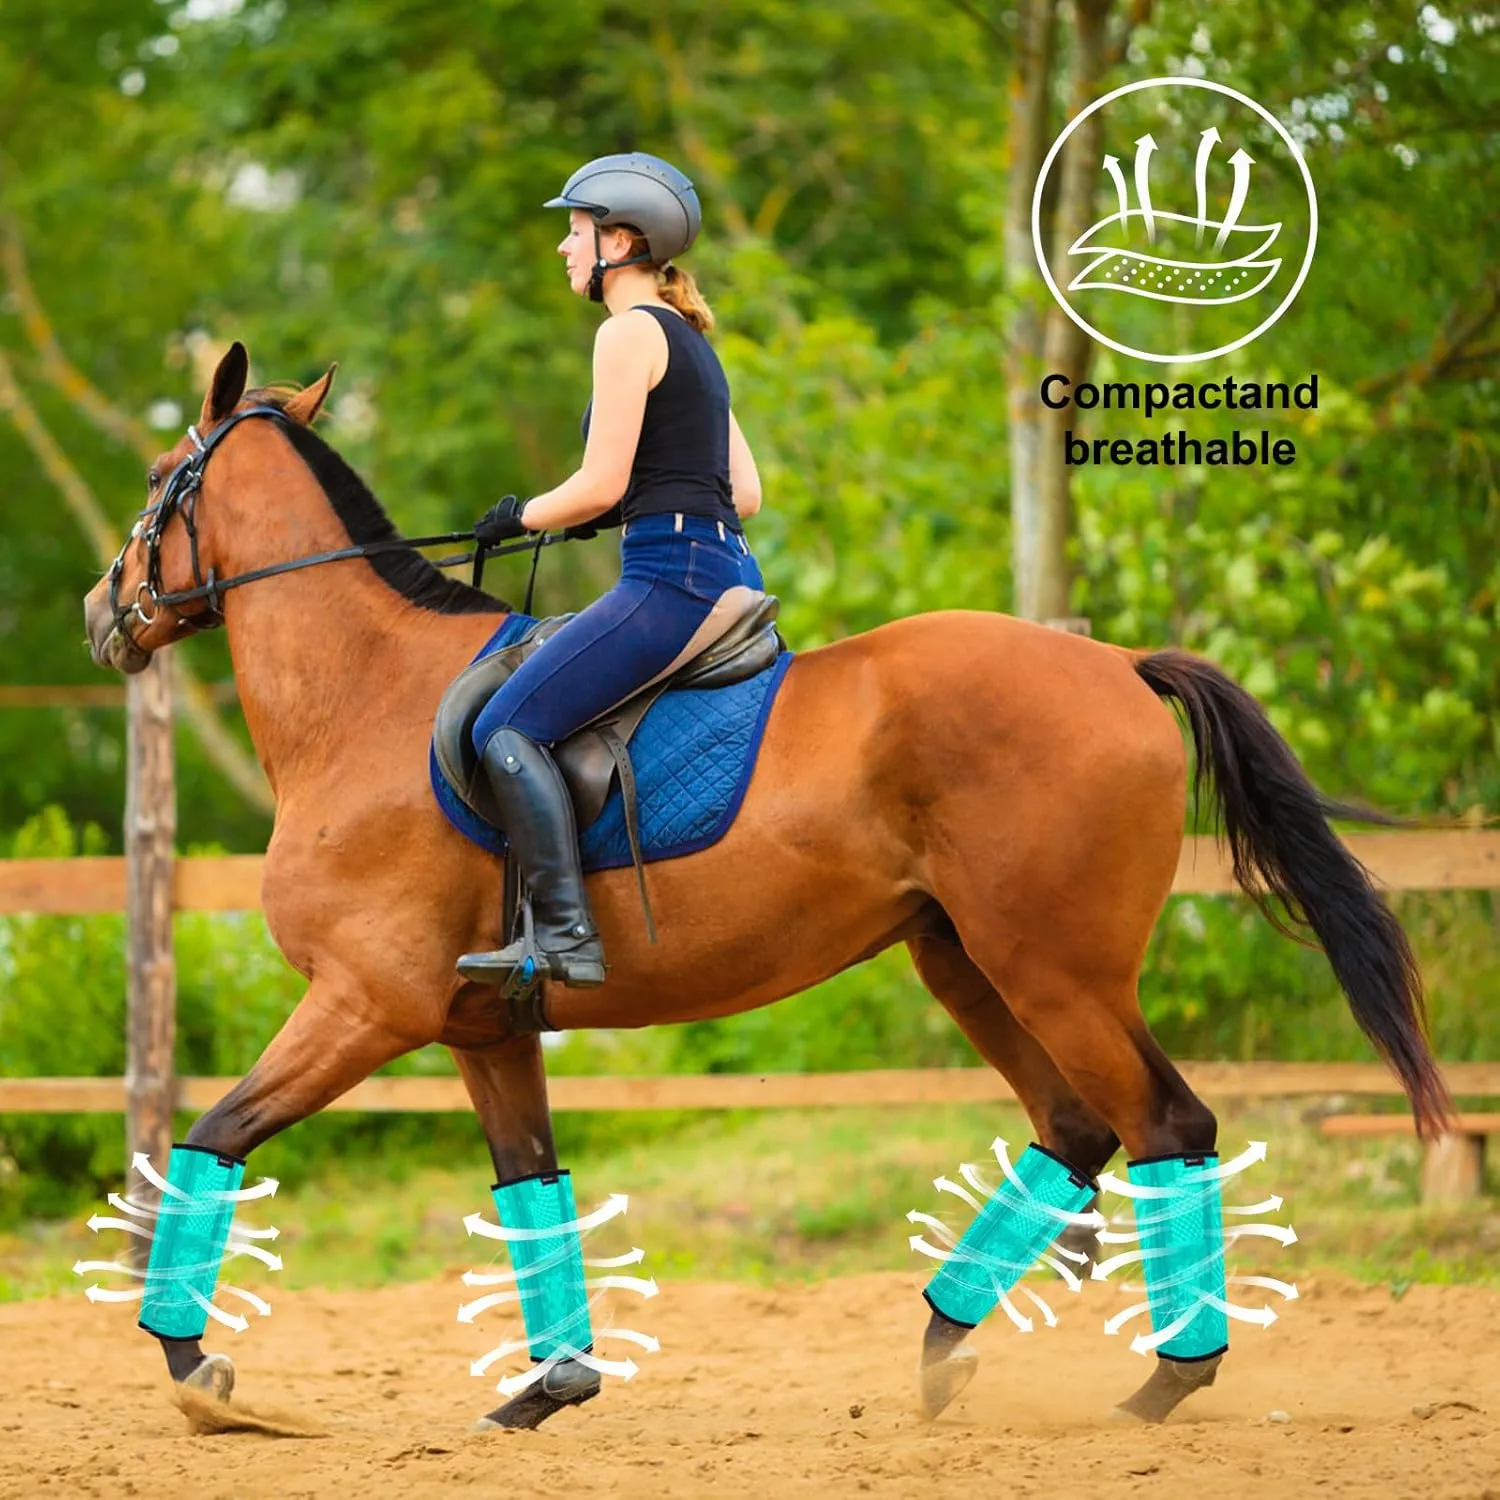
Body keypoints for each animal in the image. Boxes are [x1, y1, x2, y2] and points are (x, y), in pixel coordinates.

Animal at [82, 342, 1449, 1432]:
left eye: (157, 479)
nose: (105, 611)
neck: (366, 697)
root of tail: (1115, 663)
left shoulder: (368, 1003)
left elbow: (210, 1138)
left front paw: (195, 1370)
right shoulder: (483, 1028)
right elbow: (530, 1190)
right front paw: (553, 1388)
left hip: (1057, 970)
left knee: (1169, 1127)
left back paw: (1163, 1381)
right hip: (967, 961)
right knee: (1077, 1129)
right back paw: (946, 1349)